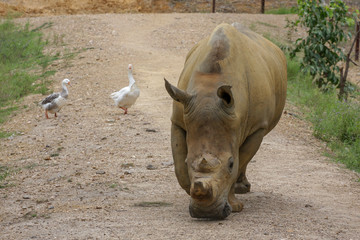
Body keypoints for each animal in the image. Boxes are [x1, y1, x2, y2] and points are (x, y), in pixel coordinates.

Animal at [165, 23, 286, 219]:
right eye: (187, 161)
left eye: (230, 163)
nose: (206, 214)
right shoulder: (178, 118)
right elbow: (178, 166)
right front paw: (189, 189)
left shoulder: (258, 127)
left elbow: (239, 161)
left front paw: (235, 206)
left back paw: (242, 189)